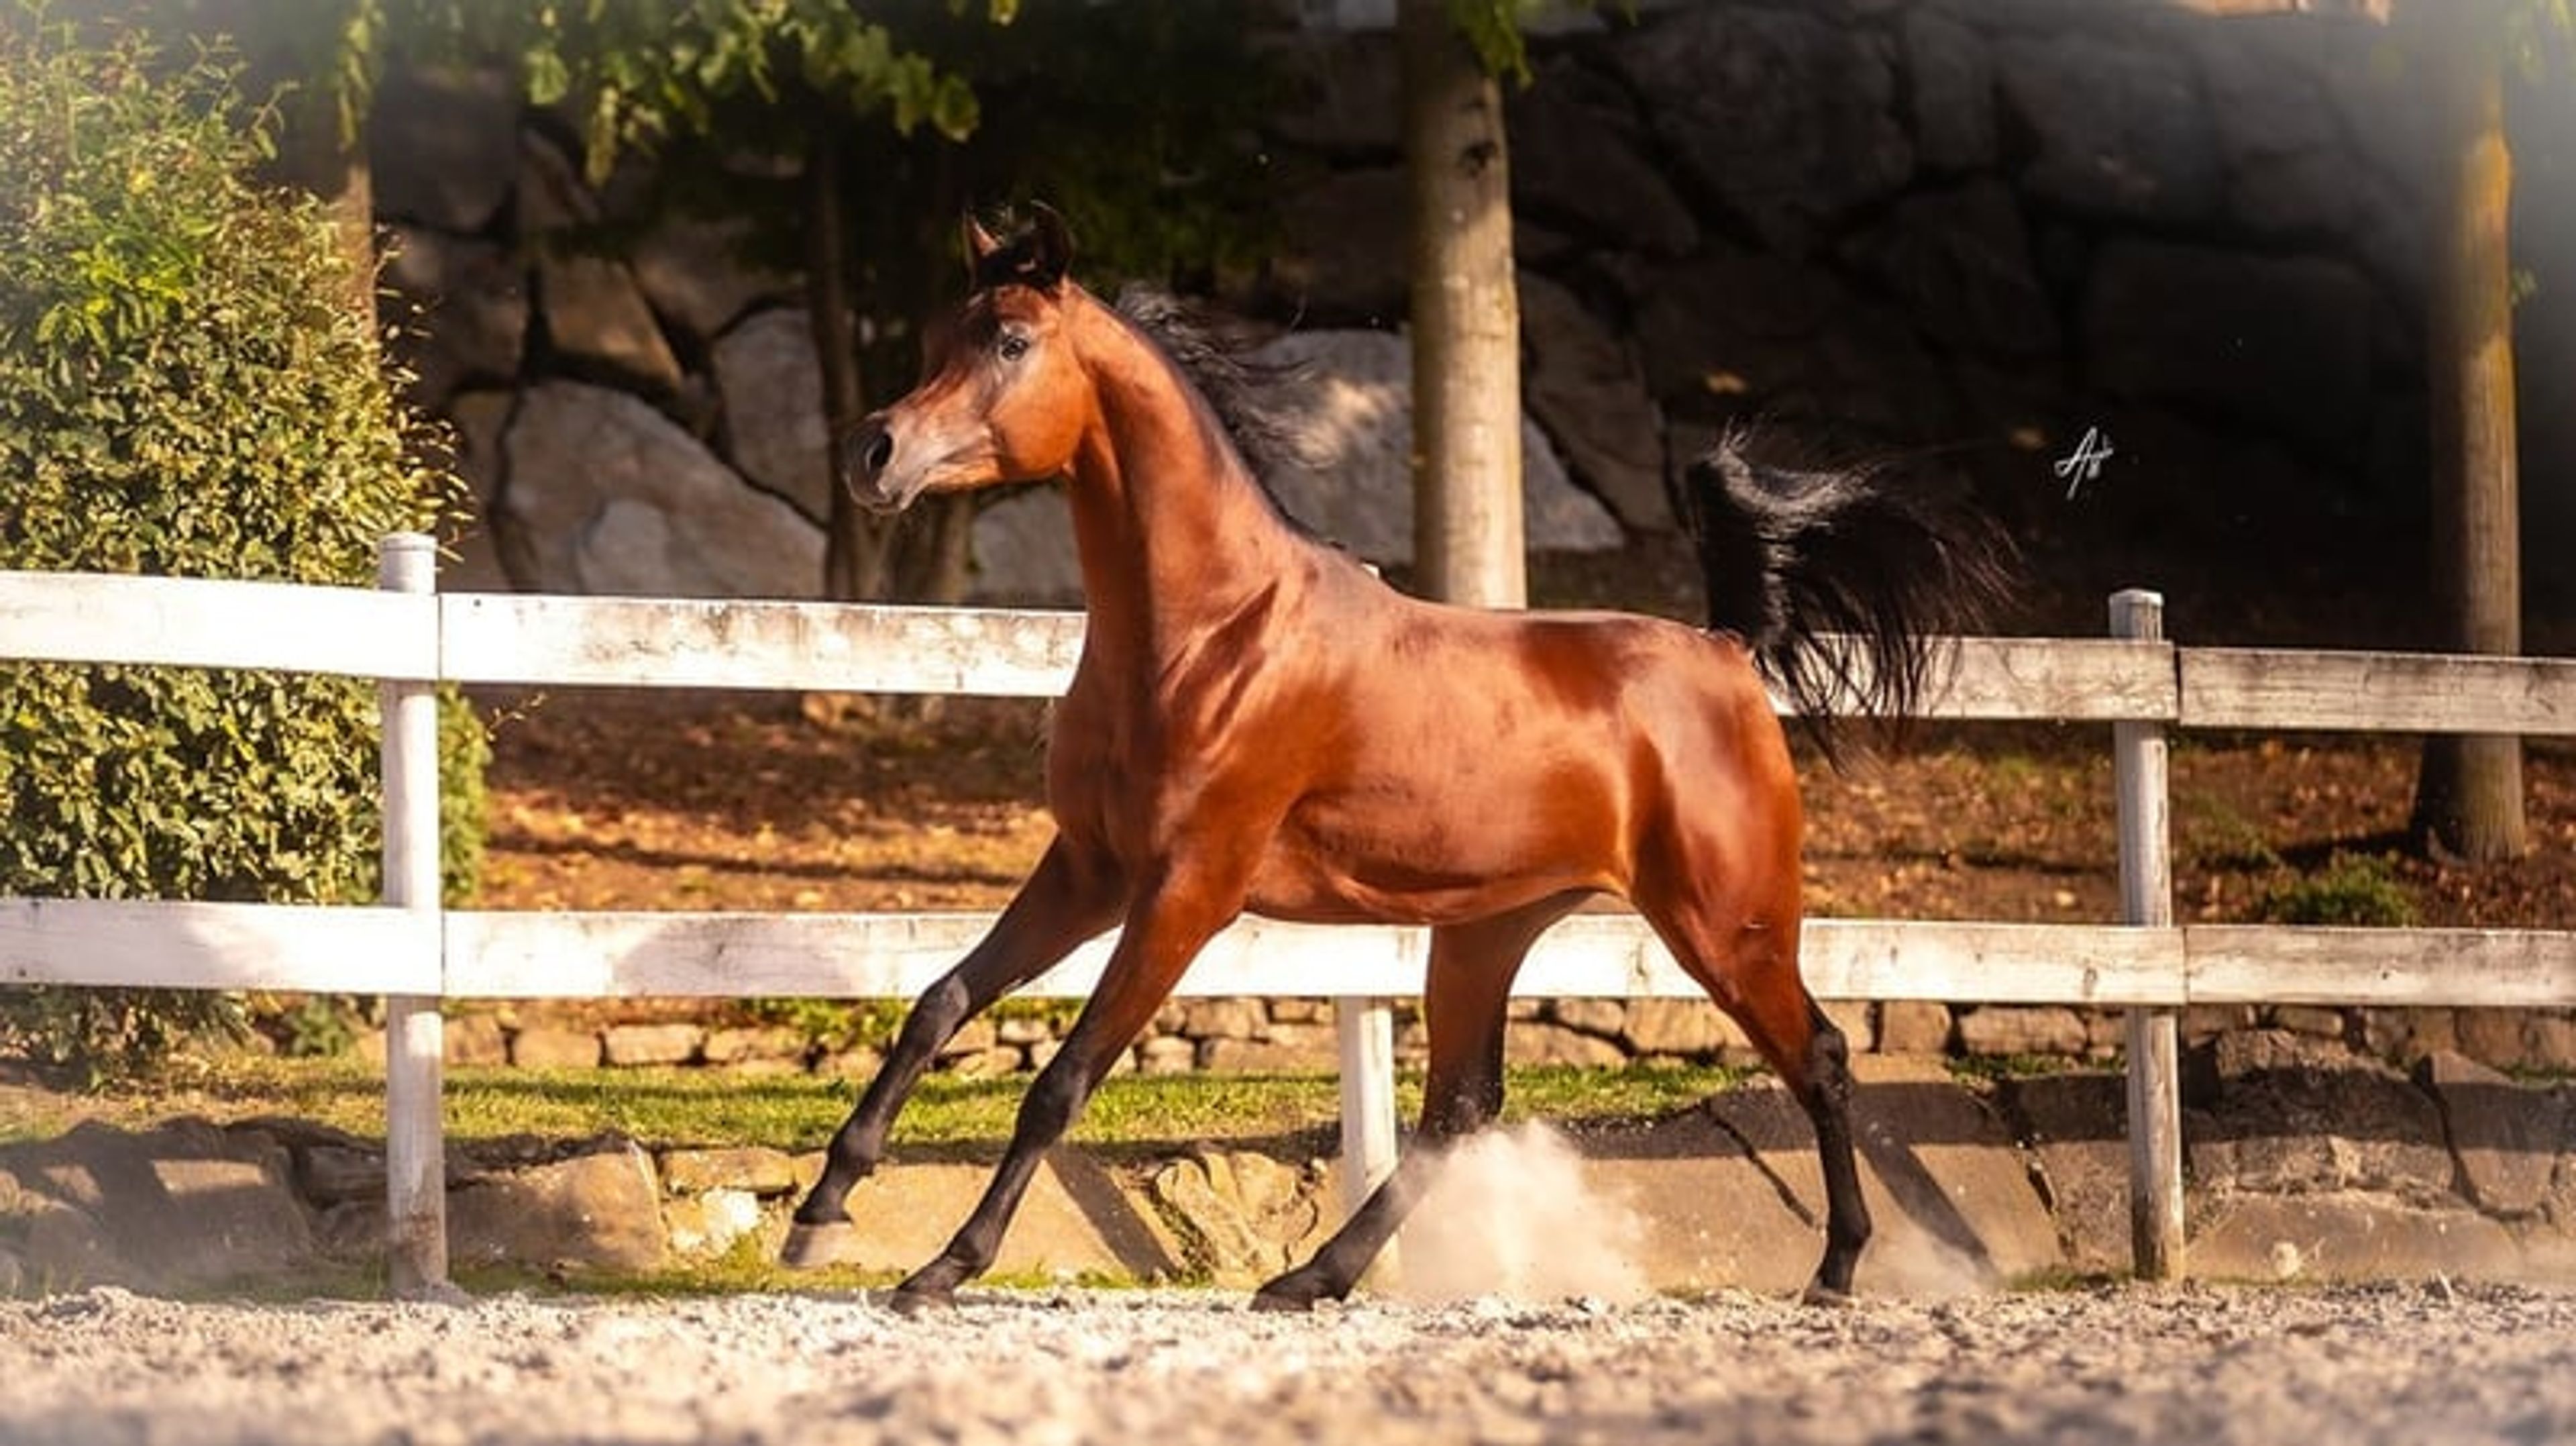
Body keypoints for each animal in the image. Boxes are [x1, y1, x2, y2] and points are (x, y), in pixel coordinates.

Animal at [783, 204, 2010, 1312]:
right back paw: (1307, 1276)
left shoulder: (1187, 891)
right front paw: (821, 1210)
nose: (871, 452)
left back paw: (1840, 1268)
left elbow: (1060, 1079)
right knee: (1458, 1111)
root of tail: (1724, 649)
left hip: (1728, 923)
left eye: (1009, 341)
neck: (1211, 631)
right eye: (938, 335)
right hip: (1486, 934)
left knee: (1823, 1056)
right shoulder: (1088, 868)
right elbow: (939, 1000)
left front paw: (941, 1267)